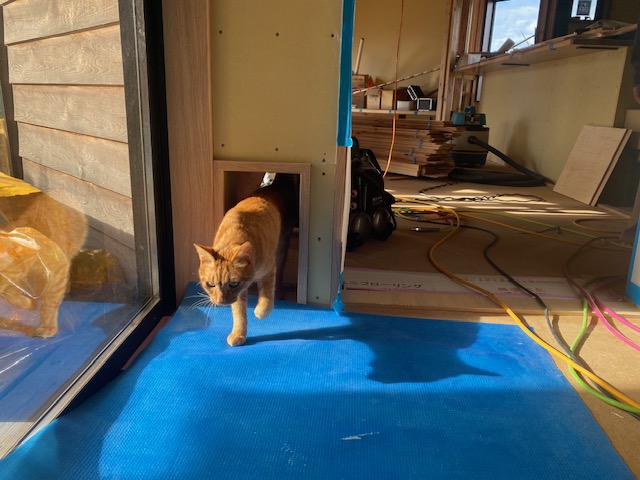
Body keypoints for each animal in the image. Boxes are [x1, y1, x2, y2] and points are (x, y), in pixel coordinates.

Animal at [0, 188, 87, 337]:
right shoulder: (13, 283)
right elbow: (13, 296)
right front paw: (28, 304)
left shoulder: (59, 270)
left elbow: (50, 302)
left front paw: (47, 326)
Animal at [194, 173, 298, 346]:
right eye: (210, 284)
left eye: (233, 283)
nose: (220, 301)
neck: (236, 235)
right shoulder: (240, 294)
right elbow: (239, 313)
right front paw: (239, 334)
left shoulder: (268, 271)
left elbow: (267, 296)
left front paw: (260, 311)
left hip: (282, 249)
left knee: (280, 277)